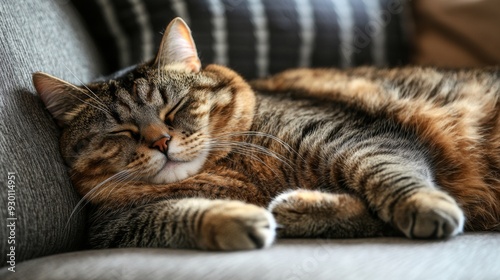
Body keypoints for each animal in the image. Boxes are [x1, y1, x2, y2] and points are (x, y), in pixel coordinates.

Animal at [33, 17, 498, 249]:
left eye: (174, 108)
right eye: (122, 130)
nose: (161, 142)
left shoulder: (354, 136)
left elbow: (388, 174)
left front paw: (422, 204)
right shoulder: (115, 227)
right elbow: (177, 214)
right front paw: (244, 217)